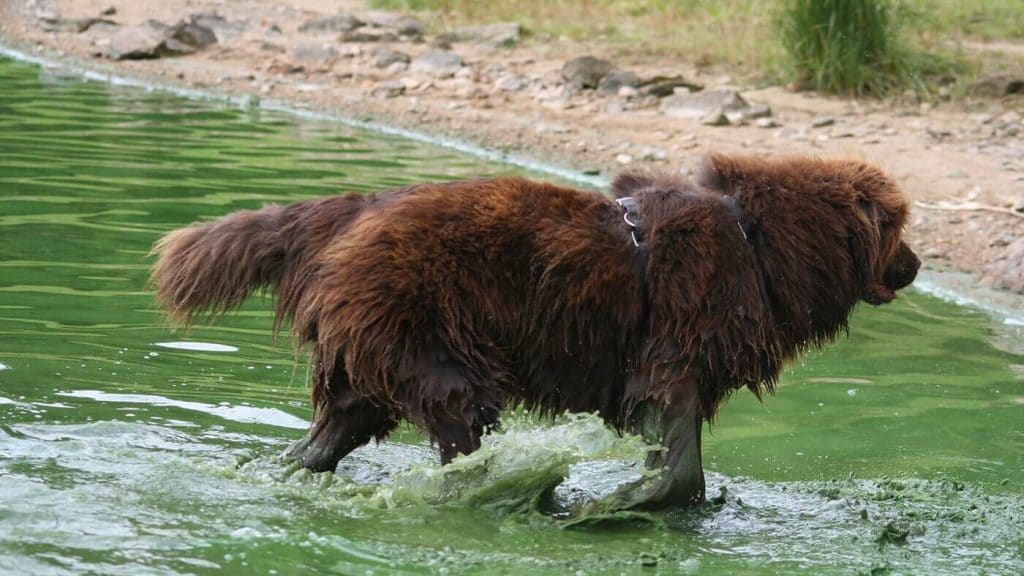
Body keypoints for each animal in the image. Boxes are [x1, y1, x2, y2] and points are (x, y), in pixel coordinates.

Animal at [149, 152, 921, 506]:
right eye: (902, 227)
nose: (916, 264)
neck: (759, 243)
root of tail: (351, 210)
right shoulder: (673, 352)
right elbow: (674, 444)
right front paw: (631, 503)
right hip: (430, 332)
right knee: (459, 419)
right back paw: (505, 491)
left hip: (368, 354)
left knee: (332, 431)